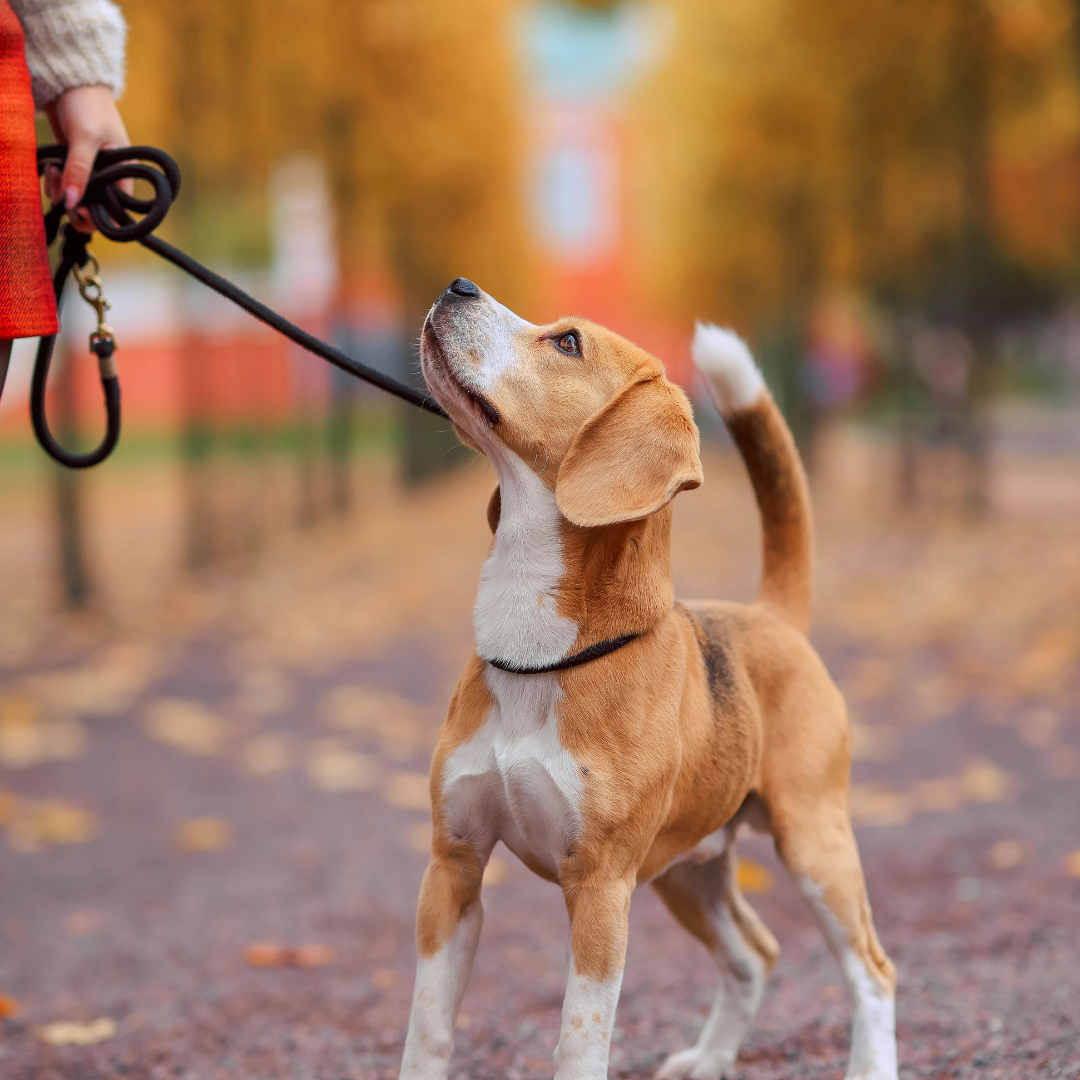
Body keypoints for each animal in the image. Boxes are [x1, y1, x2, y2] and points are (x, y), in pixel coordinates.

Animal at [401, 278, 898, 1080]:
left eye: (567, 342)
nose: (458, 286)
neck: (541, 656)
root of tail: (772, 616)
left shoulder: (601, 891)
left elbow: (580, 1038)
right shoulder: (453, 869)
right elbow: (429, 1029)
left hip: (815, 847)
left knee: (873, 972)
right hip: (687, 872)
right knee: (755, 955)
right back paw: (711, 1056)